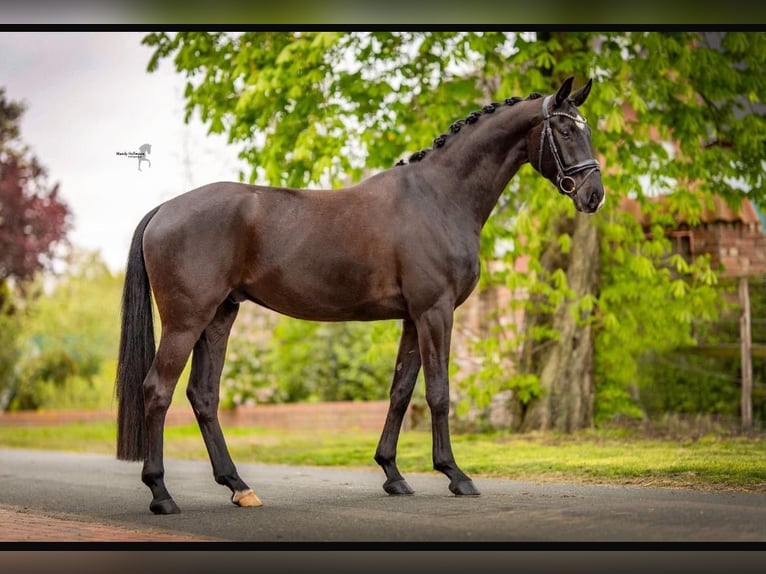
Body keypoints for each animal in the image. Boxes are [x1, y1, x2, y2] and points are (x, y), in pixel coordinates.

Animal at [115, 76, 608, 516]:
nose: (594, 195)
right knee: (157, 390)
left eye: (586, 129)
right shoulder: (435, 312)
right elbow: (439, 392)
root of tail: (164, 209)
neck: (439, 197)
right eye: (565, 130)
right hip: (186, 321)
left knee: (204, 396)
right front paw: (456, 475)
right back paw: (162, 494)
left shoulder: (413, 317)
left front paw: (393, 474)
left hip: (219, 316)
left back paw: (239, 486)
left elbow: (401, 391)